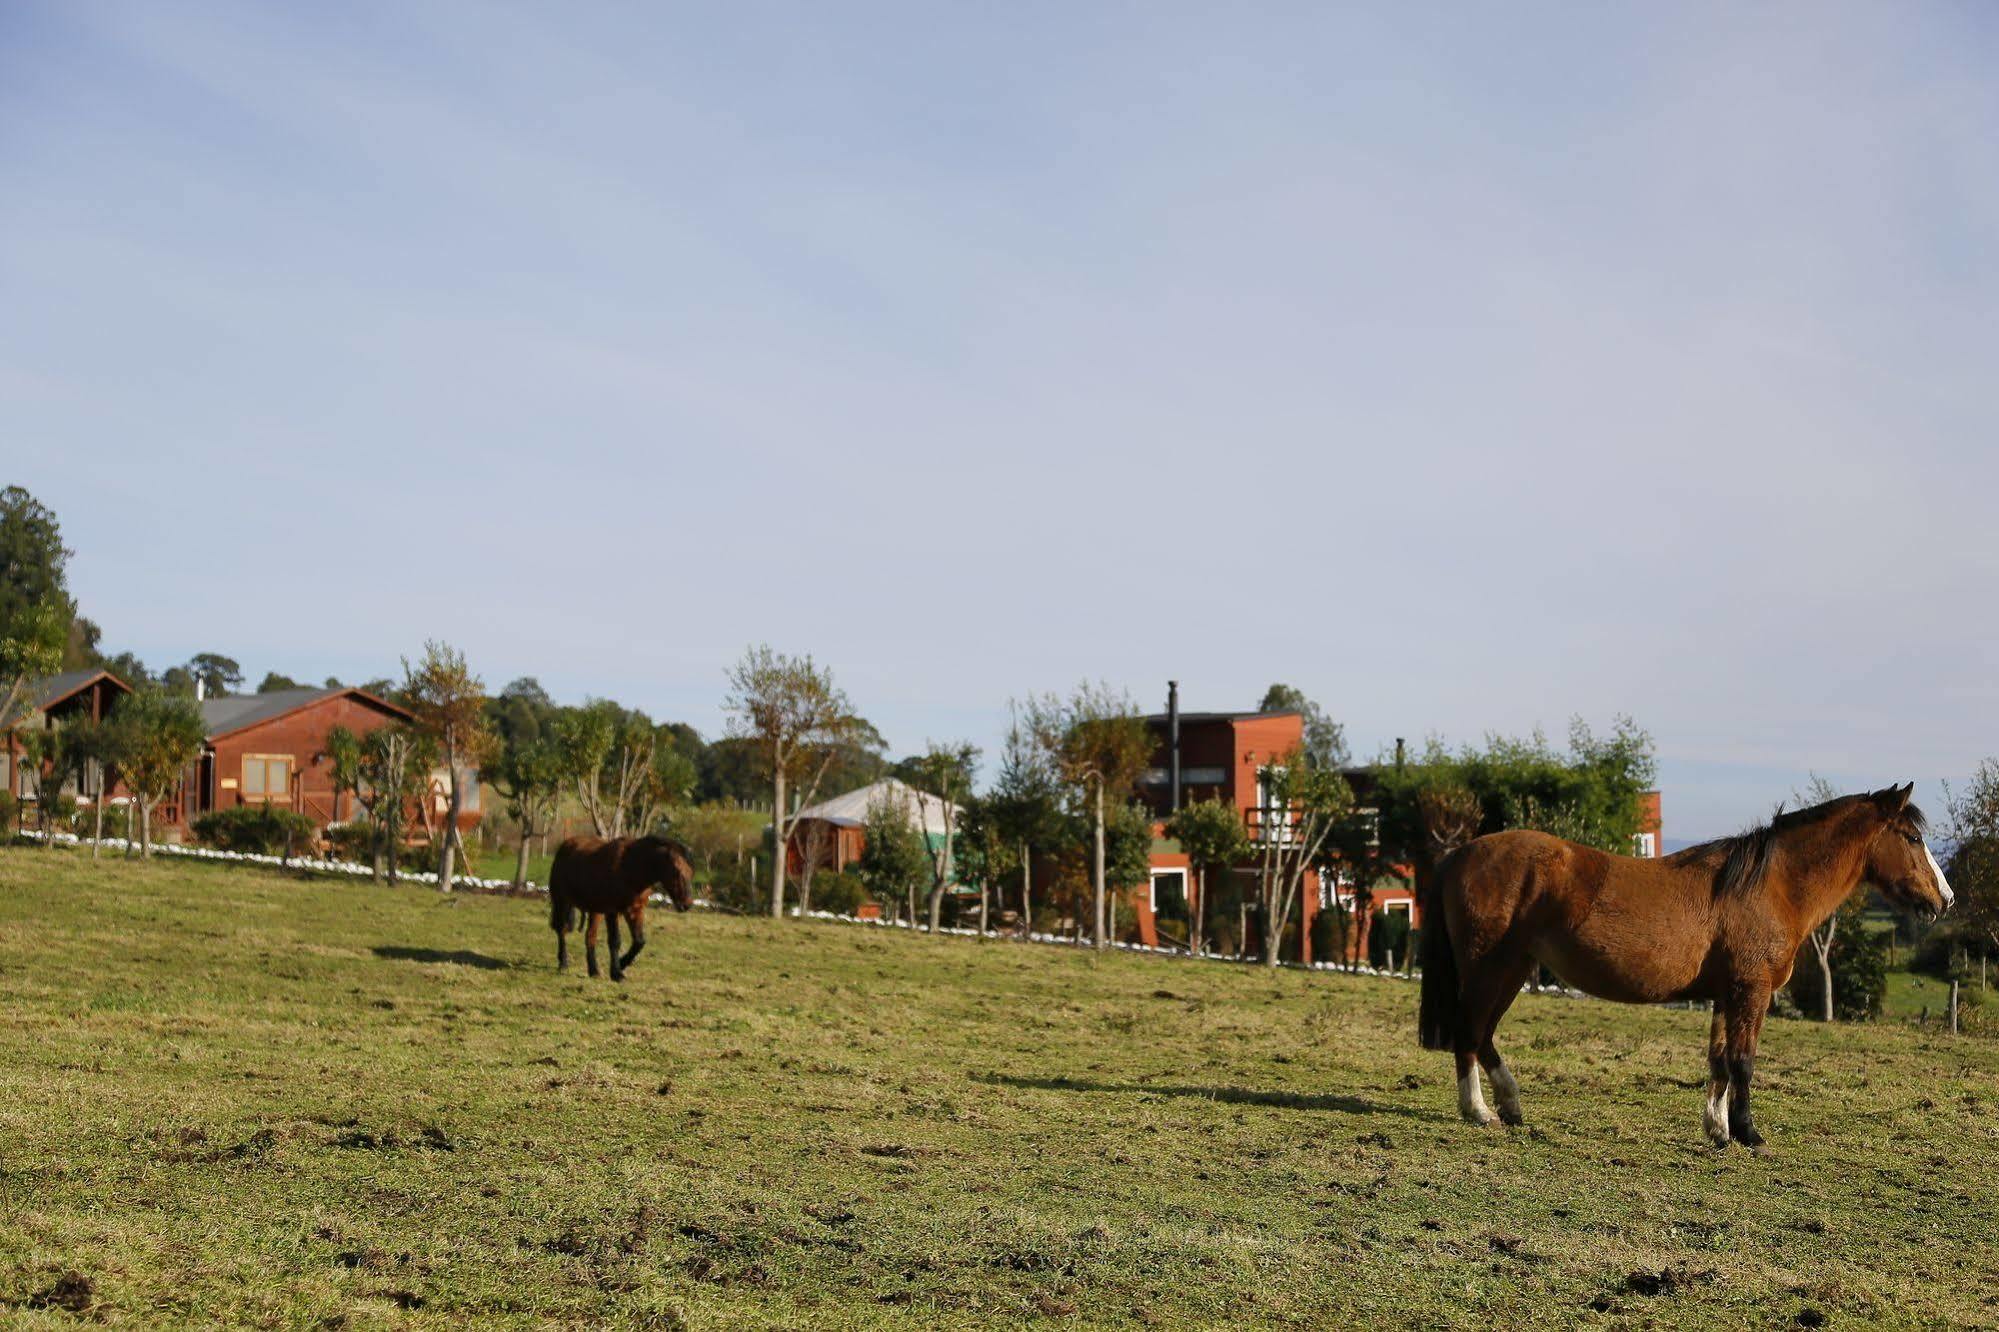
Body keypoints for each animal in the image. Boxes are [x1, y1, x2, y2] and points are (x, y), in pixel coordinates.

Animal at [547, 836, 695, 980]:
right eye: (676, 871)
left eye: (691, 872)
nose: (687, 904)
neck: (629, 868)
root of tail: (566, 845)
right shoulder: (612, 911)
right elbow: (615, 941)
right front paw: (617, 973)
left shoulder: (635, 910)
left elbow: (639, 941)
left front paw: (622, 963)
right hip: (561, 901)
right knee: (561, 930)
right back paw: (563, 963)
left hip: (595, 910)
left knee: (590, 936)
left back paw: (594, 971)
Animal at [1423, 784, 1951, 1144]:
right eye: (1910, 837)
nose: (1944, 899)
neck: (1769, 887)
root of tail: (1461, 853)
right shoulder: (1751, 991)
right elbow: (1743, 1061)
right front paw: (1747, 1133)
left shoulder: (1724, 994)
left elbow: (1718, 1061)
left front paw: (1717, 1130)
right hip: (1488, 969)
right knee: (1469, 1032)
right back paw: (1479, 1111)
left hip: (1511, 969)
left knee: (1483, 1034)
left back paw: (1510, 1106)